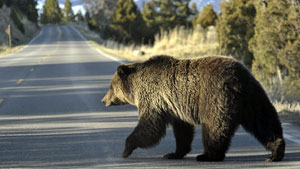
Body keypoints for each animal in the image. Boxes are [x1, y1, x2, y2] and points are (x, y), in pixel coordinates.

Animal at [102, 55, 284, 162]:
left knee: (215, 128)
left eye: (111, 87)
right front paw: (174, 153)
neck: (137, 87)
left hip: (216, 98)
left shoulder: (154, 99)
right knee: (264, 122)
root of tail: (239, 80)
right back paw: (276, 152)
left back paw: (207, 155)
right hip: (253, 98)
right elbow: (182, 131)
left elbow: (150, 126)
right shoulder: (175, 107)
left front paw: (126, 149)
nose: (104, 100)